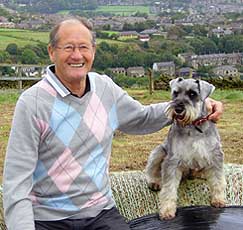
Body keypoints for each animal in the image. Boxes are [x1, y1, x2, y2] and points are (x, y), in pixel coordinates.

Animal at [144, 78, 226, 220]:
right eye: (175, 93)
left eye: (192, 93)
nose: (178, 109)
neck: (193, 126)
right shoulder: (173, 160)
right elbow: (169, 188)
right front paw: (167, 210)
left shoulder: (215, 155)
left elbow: (217, 180)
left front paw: (219, 200)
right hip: (159, 152)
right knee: (152, 170)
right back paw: (155, 182)